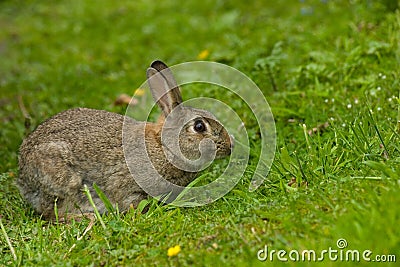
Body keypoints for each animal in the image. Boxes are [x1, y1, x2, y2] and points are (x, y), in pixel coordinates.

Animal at [18, 61, 231, 222]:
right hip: (63, 181)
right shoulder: (129, 187)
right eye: (199, 127)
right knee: (51, 213)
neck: (163, 148)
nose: (230, 147)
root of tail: (23, 179)